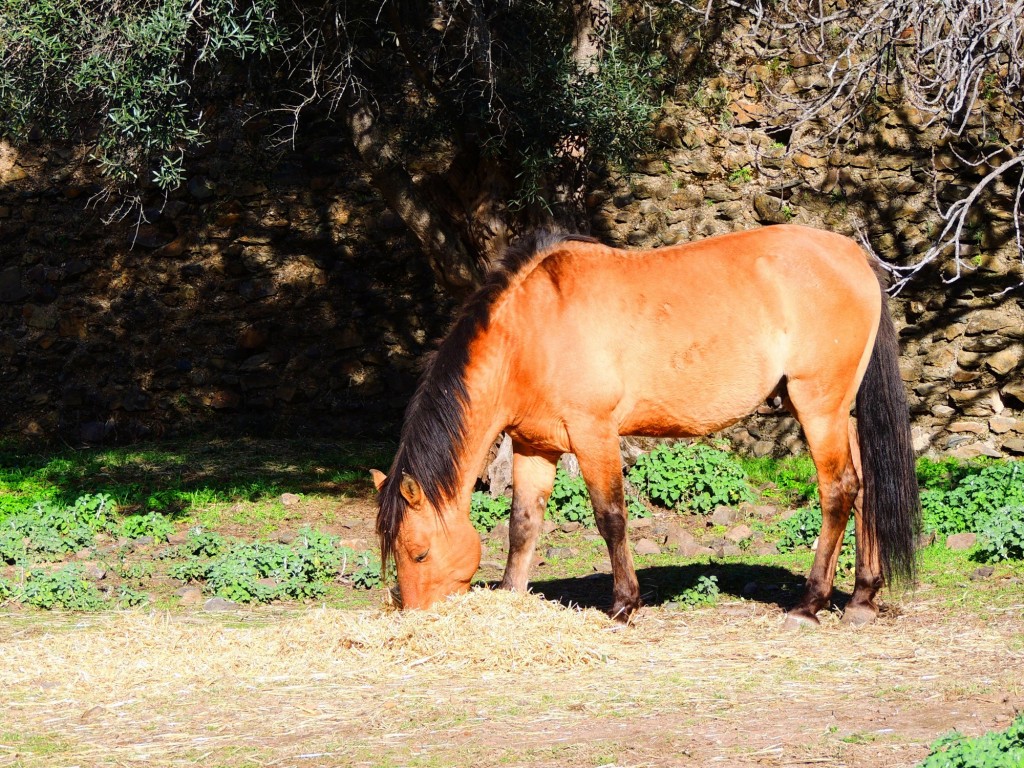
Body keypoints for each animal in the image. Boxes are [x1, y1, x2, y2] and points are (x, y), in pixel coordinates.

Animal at [372, 225, 925, 626]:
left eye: (418, 553)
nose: (415, 615)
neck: (530, 330)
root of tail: (855, 257)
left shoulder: (593, 434)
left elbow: (611, 518)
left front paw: (623, 604)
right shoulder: (534, 446)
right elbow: (523, 525)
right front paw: (511, 596)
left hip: (818, 407)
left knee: (839, 490)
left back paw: (810, 604)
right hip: (833, 411)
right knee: (867, 485)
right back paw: (861, 599)